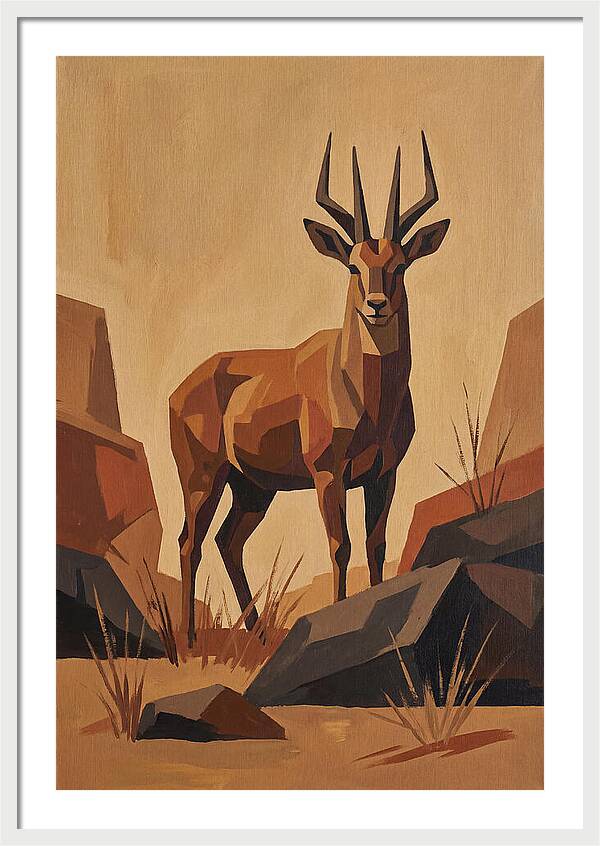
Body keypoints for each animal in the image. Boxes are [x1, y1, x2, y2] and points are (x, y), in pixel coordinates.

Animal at [170, 132, 450, 647]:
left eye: (400, 264)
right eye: (353, 266)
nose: (376, 305)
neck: (364, 394)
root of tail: (183, 386)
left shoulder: (384, 473)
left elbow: (375, 545)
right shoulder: (328, 474)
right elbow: (340, 547)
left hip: (253, 488)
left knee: (227, 541)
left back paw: (261, 637)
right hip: (203, 477)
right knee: (189, 542)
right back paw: (189, 643)